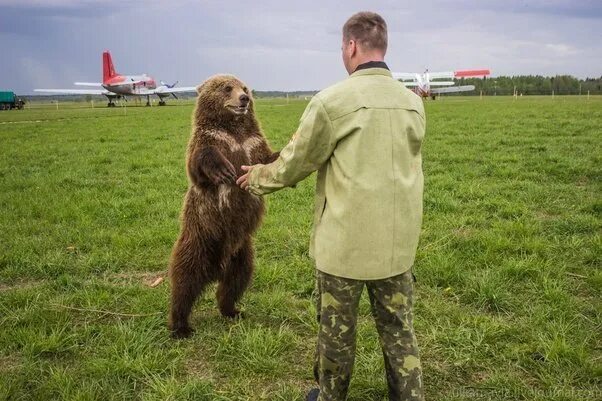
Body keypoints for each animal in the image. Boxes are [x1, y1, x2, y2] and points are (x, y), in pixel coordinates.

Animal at [168, 74, 278, 338]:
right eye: (227, 87)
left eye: (245, 87)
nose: (244, 98)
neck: (233, 130)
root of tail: (217, 266)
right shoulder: (211, 140)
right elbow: (200, 160)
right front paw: (223, 170)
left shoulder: (252, 144)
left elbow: (267, 158)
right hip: (200, 238)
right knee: (184, 280)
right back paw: (180, 325)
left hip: (242, 250)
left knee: (236, 280)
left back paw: (232, 310)